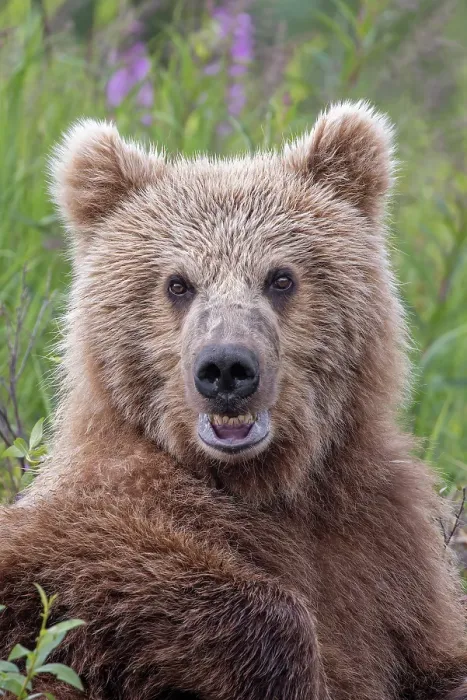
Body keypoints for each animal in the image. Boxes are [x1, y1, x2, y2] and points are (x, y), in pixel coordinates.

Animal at [0, 101, 466, 700]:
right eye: (177, 283)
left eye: (280, 277)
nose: (226, 368)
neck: (259, 481)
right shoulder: (107, 520)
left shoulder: (386, 553)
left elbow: (432, 658)